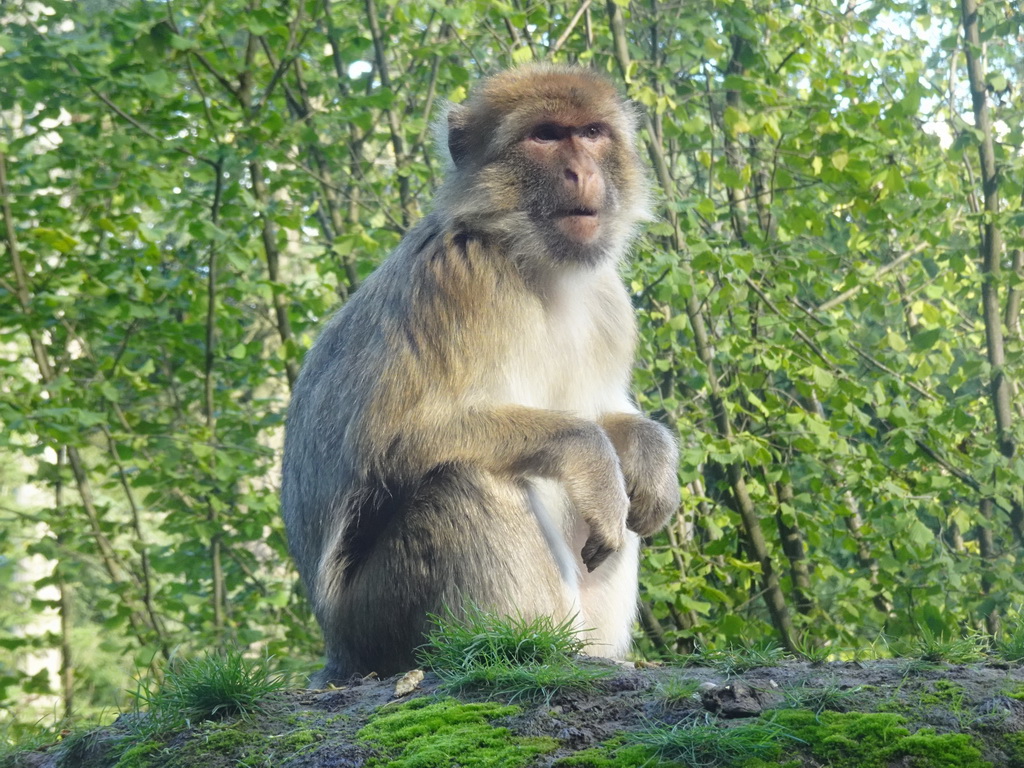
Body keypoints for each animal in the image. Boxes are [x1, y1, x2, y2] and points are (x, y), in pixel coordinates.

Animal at [280, 61, 679, 684]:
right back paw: (520, 647)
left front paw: (650, 452)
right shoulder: (459, 284)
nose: (582, 170)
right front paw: (589, 452)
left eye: (592, 133)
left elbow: (608, 413)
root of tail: (339, 652)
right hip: (377, 621)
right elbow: (391, 441)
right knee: (464, 479)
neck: (534, 265)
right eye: (545, 135)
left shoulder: (610, 302)